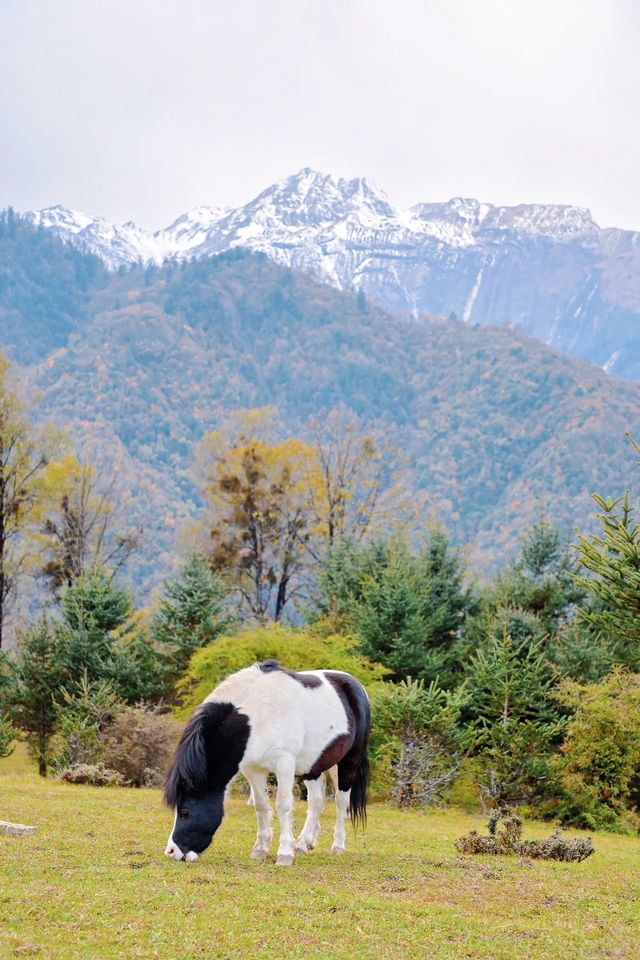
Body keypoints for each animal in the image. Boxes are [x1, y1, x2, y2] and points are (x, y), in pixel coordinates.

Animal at [164, 664, 370, 868]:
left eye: (185, 812)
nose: (171, 852)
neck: (258, 715)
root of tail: (356, 685)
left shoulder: (284, 764)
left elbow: (283, 805)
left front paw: (285, 854)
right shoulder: (253, 770)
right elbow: (261, 805)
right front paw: (260, 850)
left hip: (348, 763)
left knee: (341, 802)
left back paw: (337, 846)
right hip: (313, 766)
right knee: (316, 801)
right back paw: (303, 844)